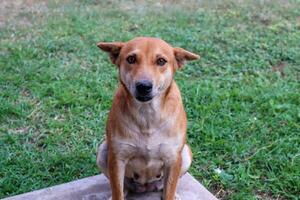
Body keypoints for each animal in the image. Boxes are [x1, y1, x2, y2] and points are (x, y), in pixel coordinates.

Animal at [96, 36, 199, 199]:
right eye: (131, 59)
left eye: (161, 61)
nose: (144, 86)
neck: (147, 114)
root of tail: (145, 187)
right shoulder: (117, 158)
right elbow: (117, 190)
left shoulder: (173, 158)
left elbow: (169, 191)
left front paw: (171, 194)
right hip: (103, 151)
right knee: (122, 187)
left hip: (185, 153)